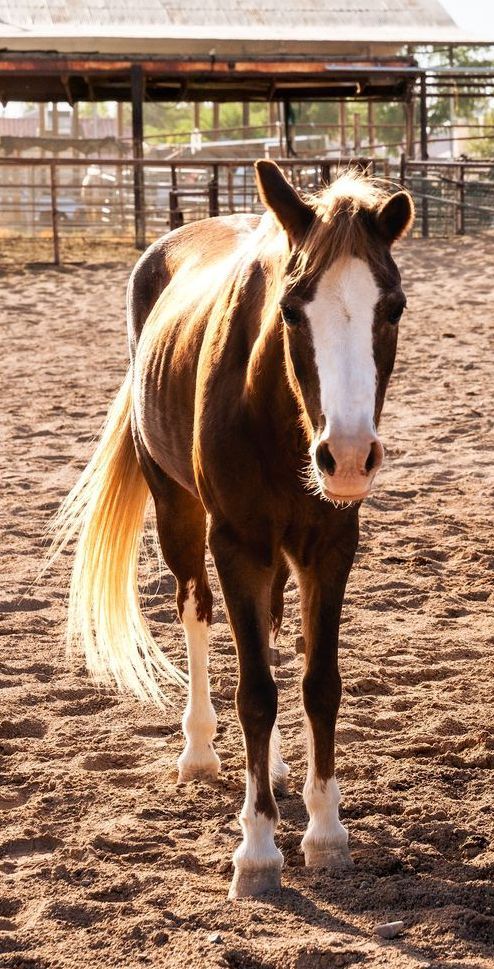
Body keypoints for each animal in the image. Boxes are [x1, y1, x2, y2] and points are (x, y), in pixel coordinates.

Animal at [53, 160, 414, 899]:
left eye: (391, 308)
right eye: (292, 308)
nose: (349, 456)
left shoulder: (330, 546)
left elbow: (318, 684)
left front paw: (325, 832)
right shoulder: (238, 544)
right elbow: (254, 693)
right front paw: (257, 848)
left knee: (268, 633)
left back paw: (270, 768)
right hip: (180, 513)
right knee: (196, 611)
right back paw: (198, 749)